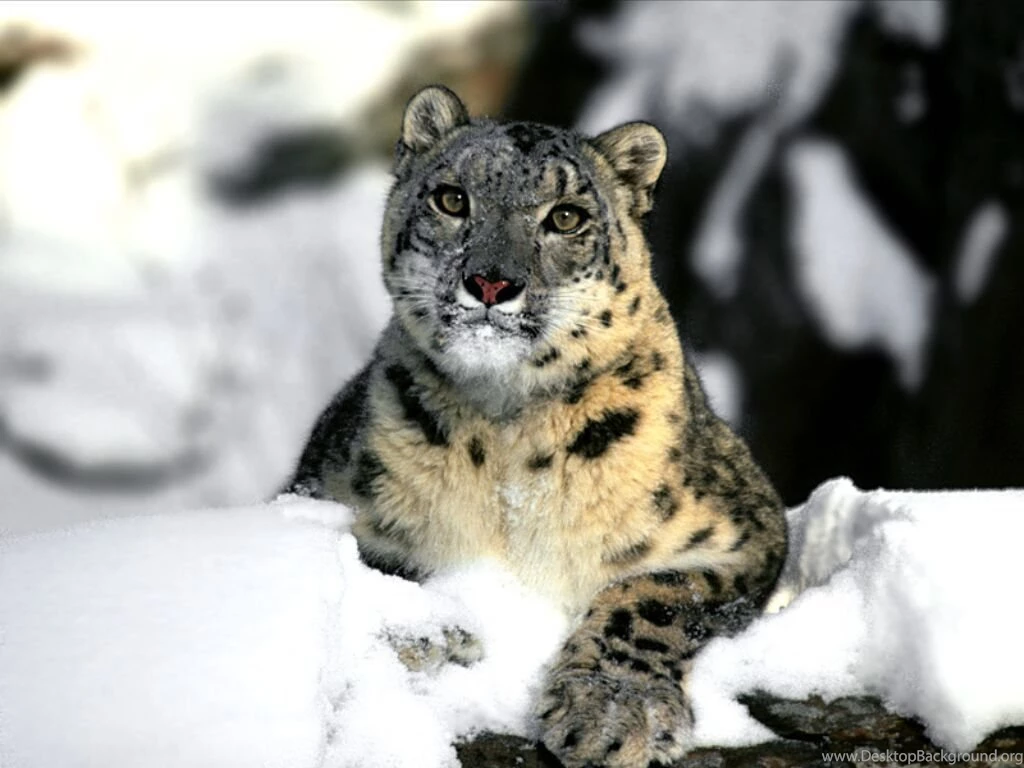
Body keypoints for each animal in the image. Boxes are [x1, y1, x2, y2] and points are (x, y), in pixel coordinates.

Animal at [287, 85, 787, 768]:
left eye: (567, 216)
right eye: (452, 198)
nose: (491, 282)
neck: (505, 439)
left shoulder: (743, 528)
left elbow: (656, 594)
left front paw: (613, 710)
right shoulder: (326, 496)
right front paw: (433, 632)